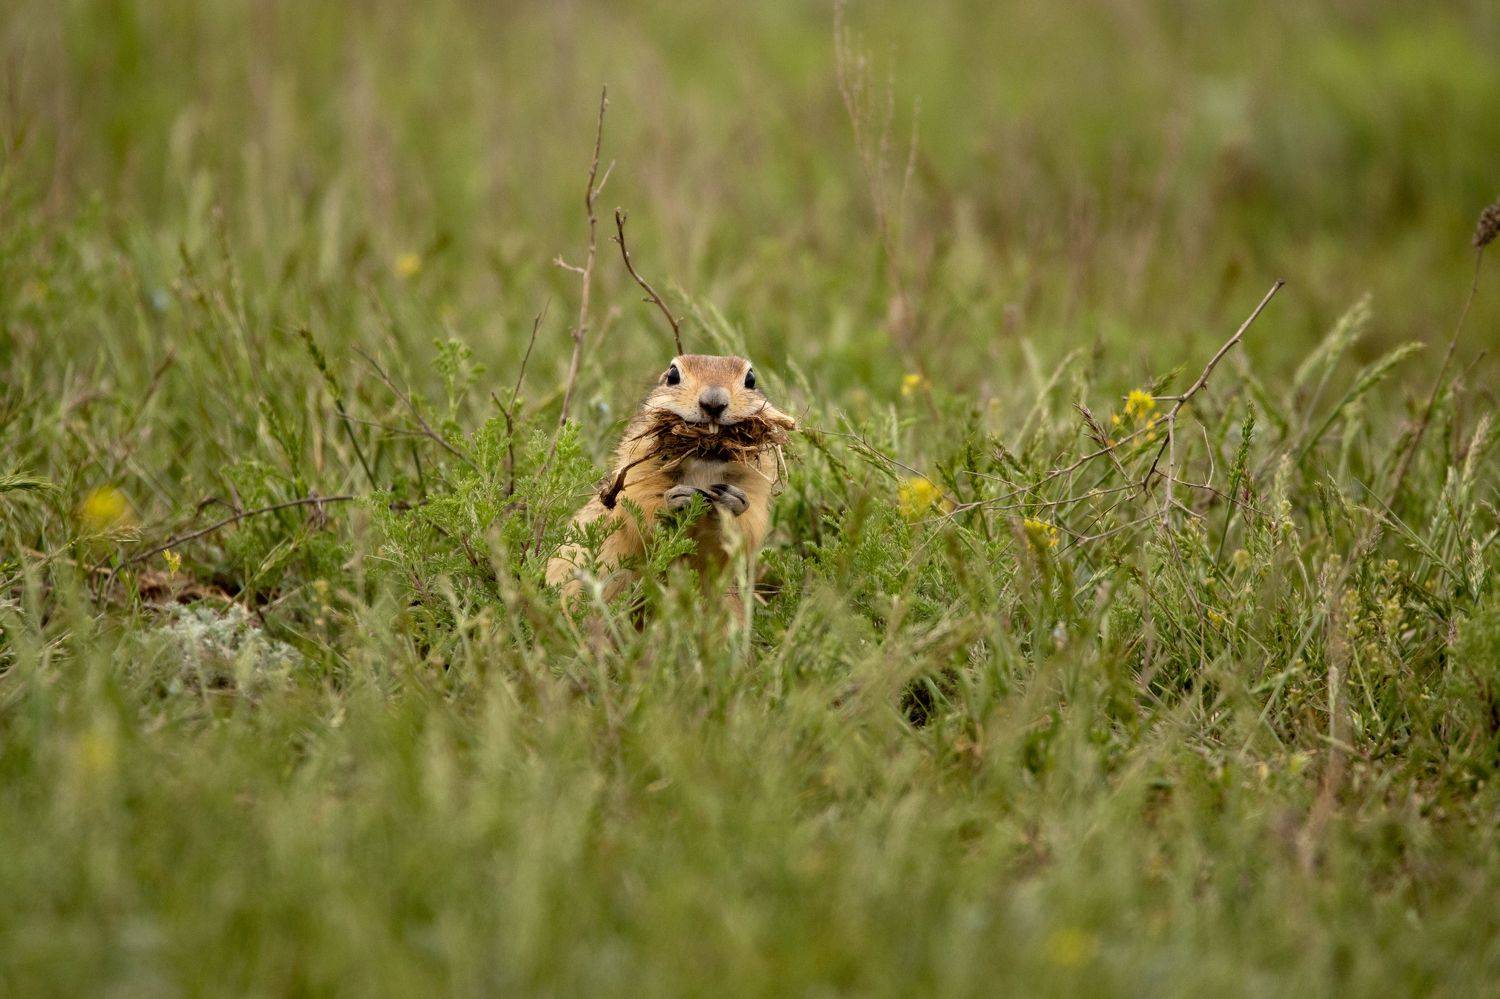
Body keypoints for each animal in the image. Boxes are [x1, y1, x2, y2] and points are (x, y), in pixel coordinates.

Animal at [545, 354, 790, 612]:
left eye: (751, 379)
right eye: (673, 375)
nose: (714, 401)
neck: (703, 470)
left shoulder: (756, 489)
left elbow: (745, 533)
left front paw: (732, 501)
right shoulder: (633, 479)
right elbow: (639, 516)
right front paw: (675, 499)